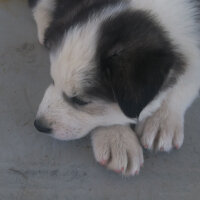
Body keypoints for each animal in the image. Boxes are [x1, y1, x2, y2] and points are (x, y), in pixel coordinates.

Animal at [29, 0, 200, 175]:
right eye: (53, 80)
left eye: (81, 101)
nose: (39, 125)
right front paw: (117, 138)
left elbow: (187, 79)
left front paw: (161, 121)